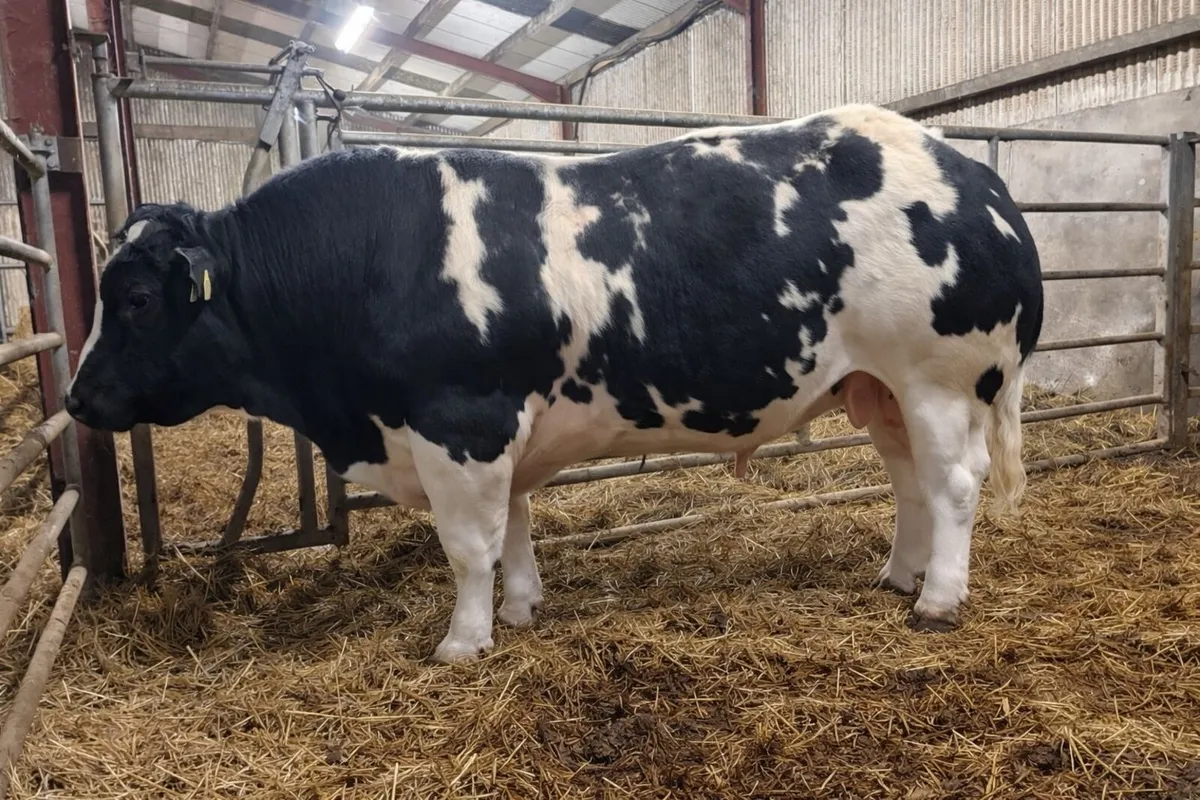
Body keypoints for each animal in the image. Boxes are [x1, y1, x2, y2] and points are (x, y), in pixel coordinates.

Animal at [65, 103, 1043, 663]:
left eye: (138, 297)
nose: (77, 398)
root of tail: (973, 172)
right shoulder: (499, 427)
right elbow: (515, 527)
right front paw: (524, 607)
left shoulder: (460, 422)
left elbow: (467, 545)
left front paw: (463, 642)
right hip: (878, 387)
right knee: (909, 482)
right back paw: (900, 577)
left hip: (939, 379)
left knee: (956, 484)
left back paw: (939, 601)